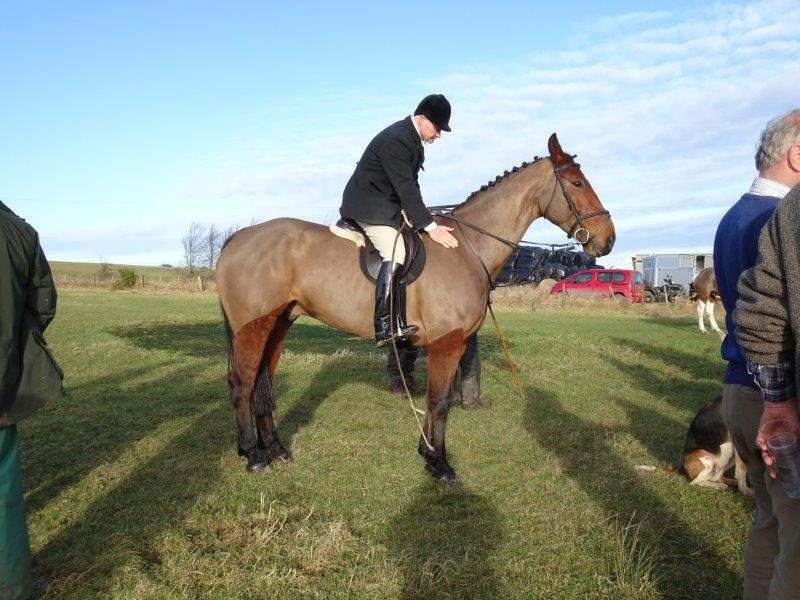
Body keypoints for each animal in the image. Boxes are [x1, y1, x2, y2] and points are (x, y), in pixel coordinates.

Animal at [215, 133, 616, 482]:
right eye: (577, 183)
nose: (609, 240)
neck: (468, 247)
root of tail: (238, 236)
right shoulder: (447, 342)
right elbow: (438, 401)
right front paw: (439, 464)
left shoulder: (451, 344)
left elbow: (441, 399)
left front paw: (428, 453)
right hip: (252, 327)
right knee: (242, 385)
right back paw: (253, 455)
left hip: (279, 324)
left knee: (263, 384)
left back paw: (276, 450)